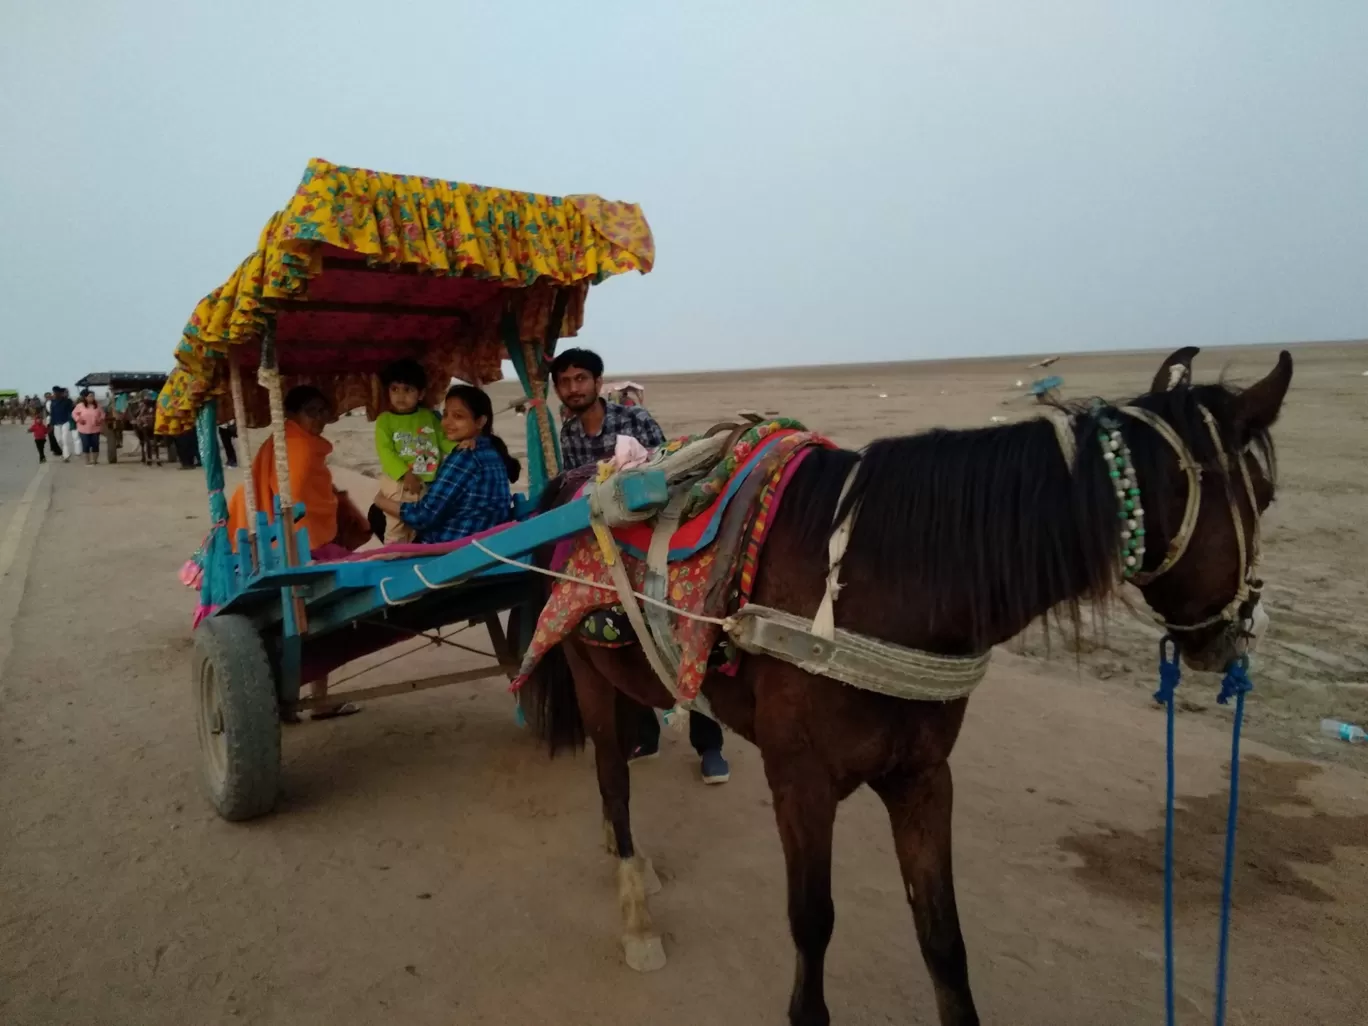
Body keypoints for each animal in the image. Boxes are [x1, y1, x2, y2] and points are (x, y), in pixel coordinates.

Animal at [514, 350, 1291, 1023]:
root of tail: (575, 484)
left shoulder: (923, 777)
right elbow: (813, 921)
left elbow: (943, 938)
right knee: (613, 779)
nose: (1242, 632)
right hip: (585, 673)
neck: (883, 584)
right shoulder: (801, 782)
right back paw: (635, 910)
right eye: (1265, 495)